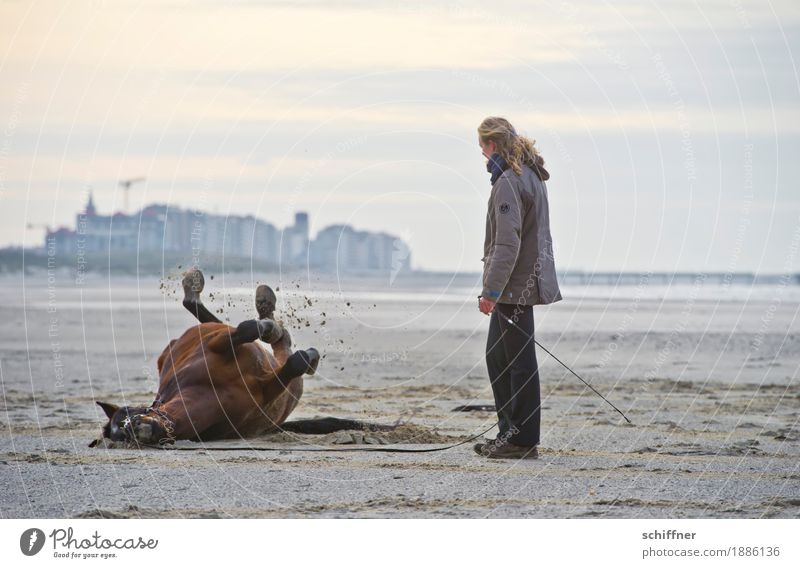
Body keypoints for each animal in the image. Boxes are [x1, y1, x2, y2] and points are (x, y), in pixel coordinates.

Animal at [92, 268, 380, 446]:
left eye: (128, 416)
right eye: (121, 435)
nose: (140, 430)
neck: (210, 391)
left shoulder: (219, 345)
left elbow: (249, 330)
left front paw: (270, 327)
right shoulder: (267, 390)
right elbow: (293, 363)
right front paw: (303, 355)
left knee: (257, 332)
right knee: (285, 349)